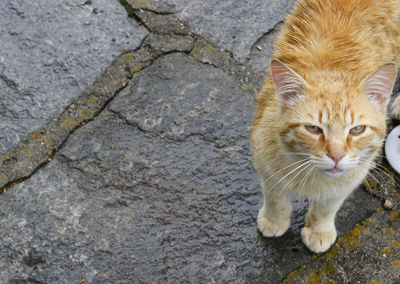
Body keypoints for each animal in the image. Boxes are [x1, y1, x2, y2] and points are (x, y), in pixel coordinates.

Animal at [250, 0, 400, 253]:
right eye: (314, 129)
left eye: (357, 129)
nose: (337, 156)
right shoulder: (265, 161)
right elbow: (275, 196)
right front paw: (274, 220)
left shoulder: (352, 175)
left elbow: (327, 206)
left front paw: (319, 230)